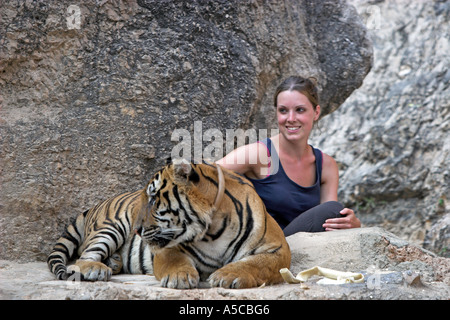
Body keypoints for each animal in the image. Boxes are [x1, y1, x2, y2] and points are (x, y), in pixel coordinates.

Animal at [47, 159, 290, 288]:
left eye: (154, 198)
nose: (137, 230)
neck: (213, 231)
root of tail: (95, 206)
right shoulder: (165, 249)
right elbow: (175, 260)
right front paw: (179, 277)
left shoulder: (278, 249)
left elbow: (255, 263)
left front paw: (228, 275)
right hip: (111, 226)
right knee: (82, 257)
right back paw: (96, 269)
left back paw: (114, 263)